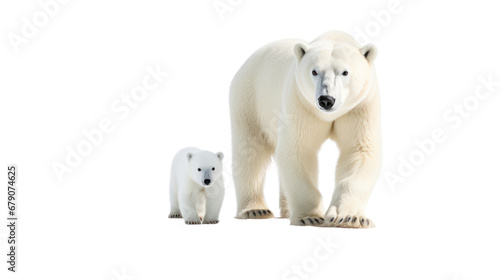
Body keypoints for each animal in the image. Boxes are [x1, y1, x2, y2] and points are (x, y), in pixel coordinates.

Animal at [229, 30, 380, 228]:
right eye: (314, 71)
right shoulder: (300, 102)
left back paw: (286, 211)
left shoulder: (360, 106)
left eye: (345, 72)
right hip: (250, 99)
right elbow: (297, 149)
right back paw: (255, 210)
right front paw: (310, 217)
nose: (326, 99)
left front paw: (349, 218)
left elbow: (360, 150)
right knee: (251, 152)